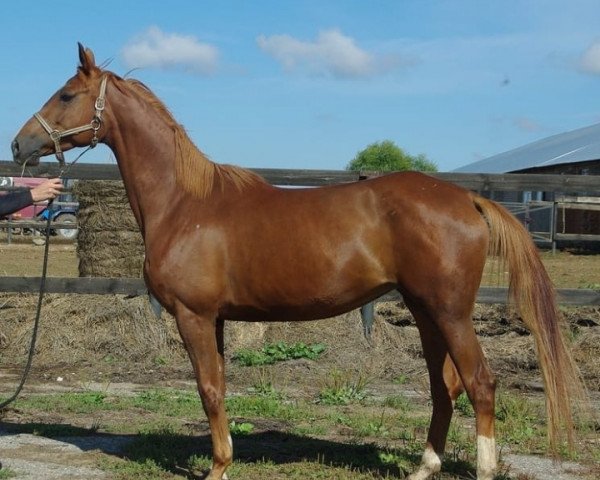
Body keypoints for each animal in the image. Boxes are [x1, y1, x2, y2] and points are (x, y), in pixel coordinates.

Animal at [11, 43, 584, 478]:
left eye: (67, 94)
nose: (19, 144)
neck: (184, 202)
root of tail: (465, 198)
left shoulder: (194, 317)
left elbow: (208, 389)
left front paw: (218, 468)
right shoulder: (215, 320)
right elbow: (219, 388)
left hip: (451, 312)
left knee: (480, 384)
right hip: (426, 312)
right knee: (444, 388)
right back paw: (424, 467)